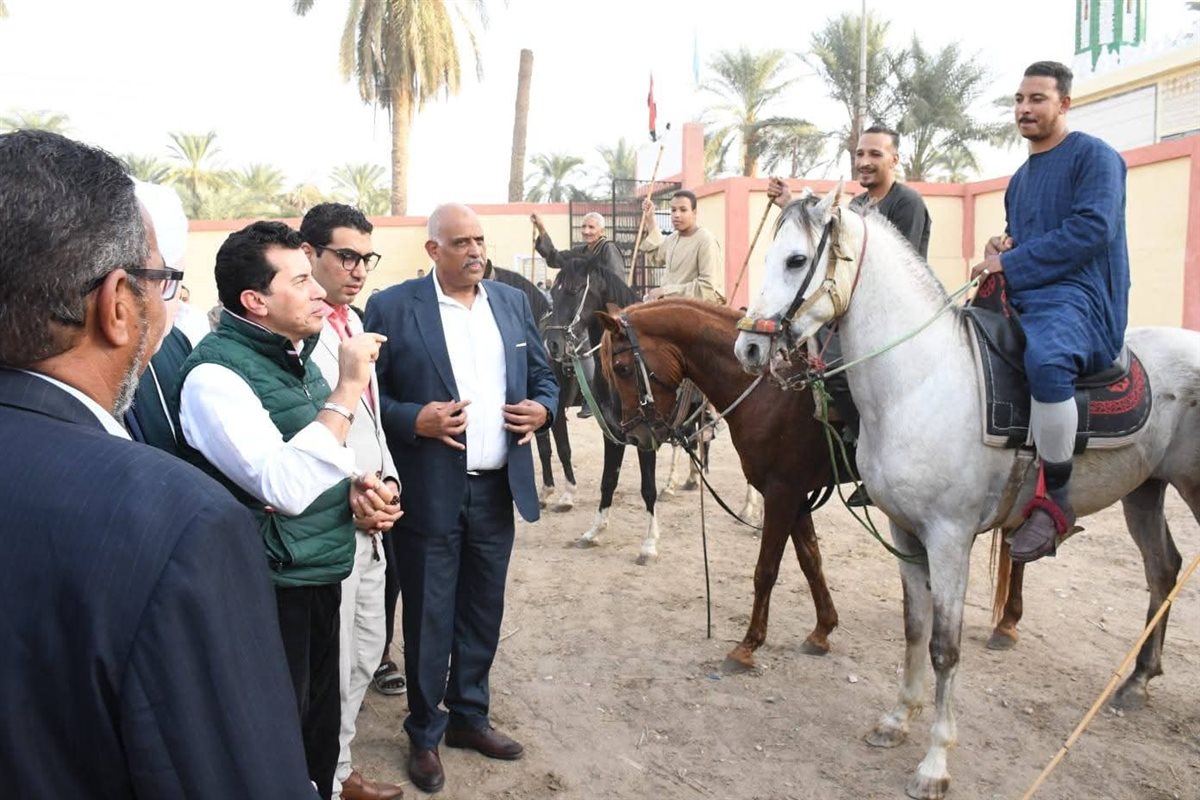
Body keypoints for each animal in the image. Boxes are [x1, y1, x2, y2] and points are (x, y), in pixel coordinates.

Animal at [542, 250, 662, 564]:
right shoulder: (613, 433)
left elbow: (648, 489)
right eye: (552, 292)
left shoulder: (646, 438)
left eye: (574, 290)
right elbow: (607, 481)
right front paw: (594, 531)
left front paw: (649, 544)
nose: (552, 344)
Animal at [733, 186, 1200, 799]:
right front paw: (896, 719)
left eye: (795, 260)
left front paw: (935, 762)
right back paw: (1138, 681)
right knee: (1163, 570)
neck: (921, 380)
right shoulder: (904, 531)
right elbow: (914, 627)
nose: (747, 347)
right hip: (1145, 490)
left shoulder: (950, 538)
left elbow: (944, 647)